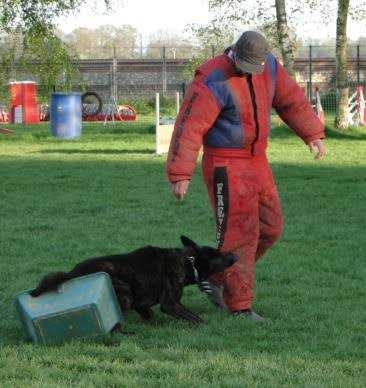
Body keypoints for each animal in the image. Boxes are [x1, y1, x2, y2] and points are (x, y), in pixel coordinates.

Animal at [30, 236, 236, 324]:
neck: (188, 262)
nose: (234, 254)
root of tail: (72, 273)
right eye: (217, 254)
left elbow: (150, 316)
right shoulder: (170, 304)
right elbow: (195, 318)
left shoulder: (142, 305)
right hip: (124, 292)